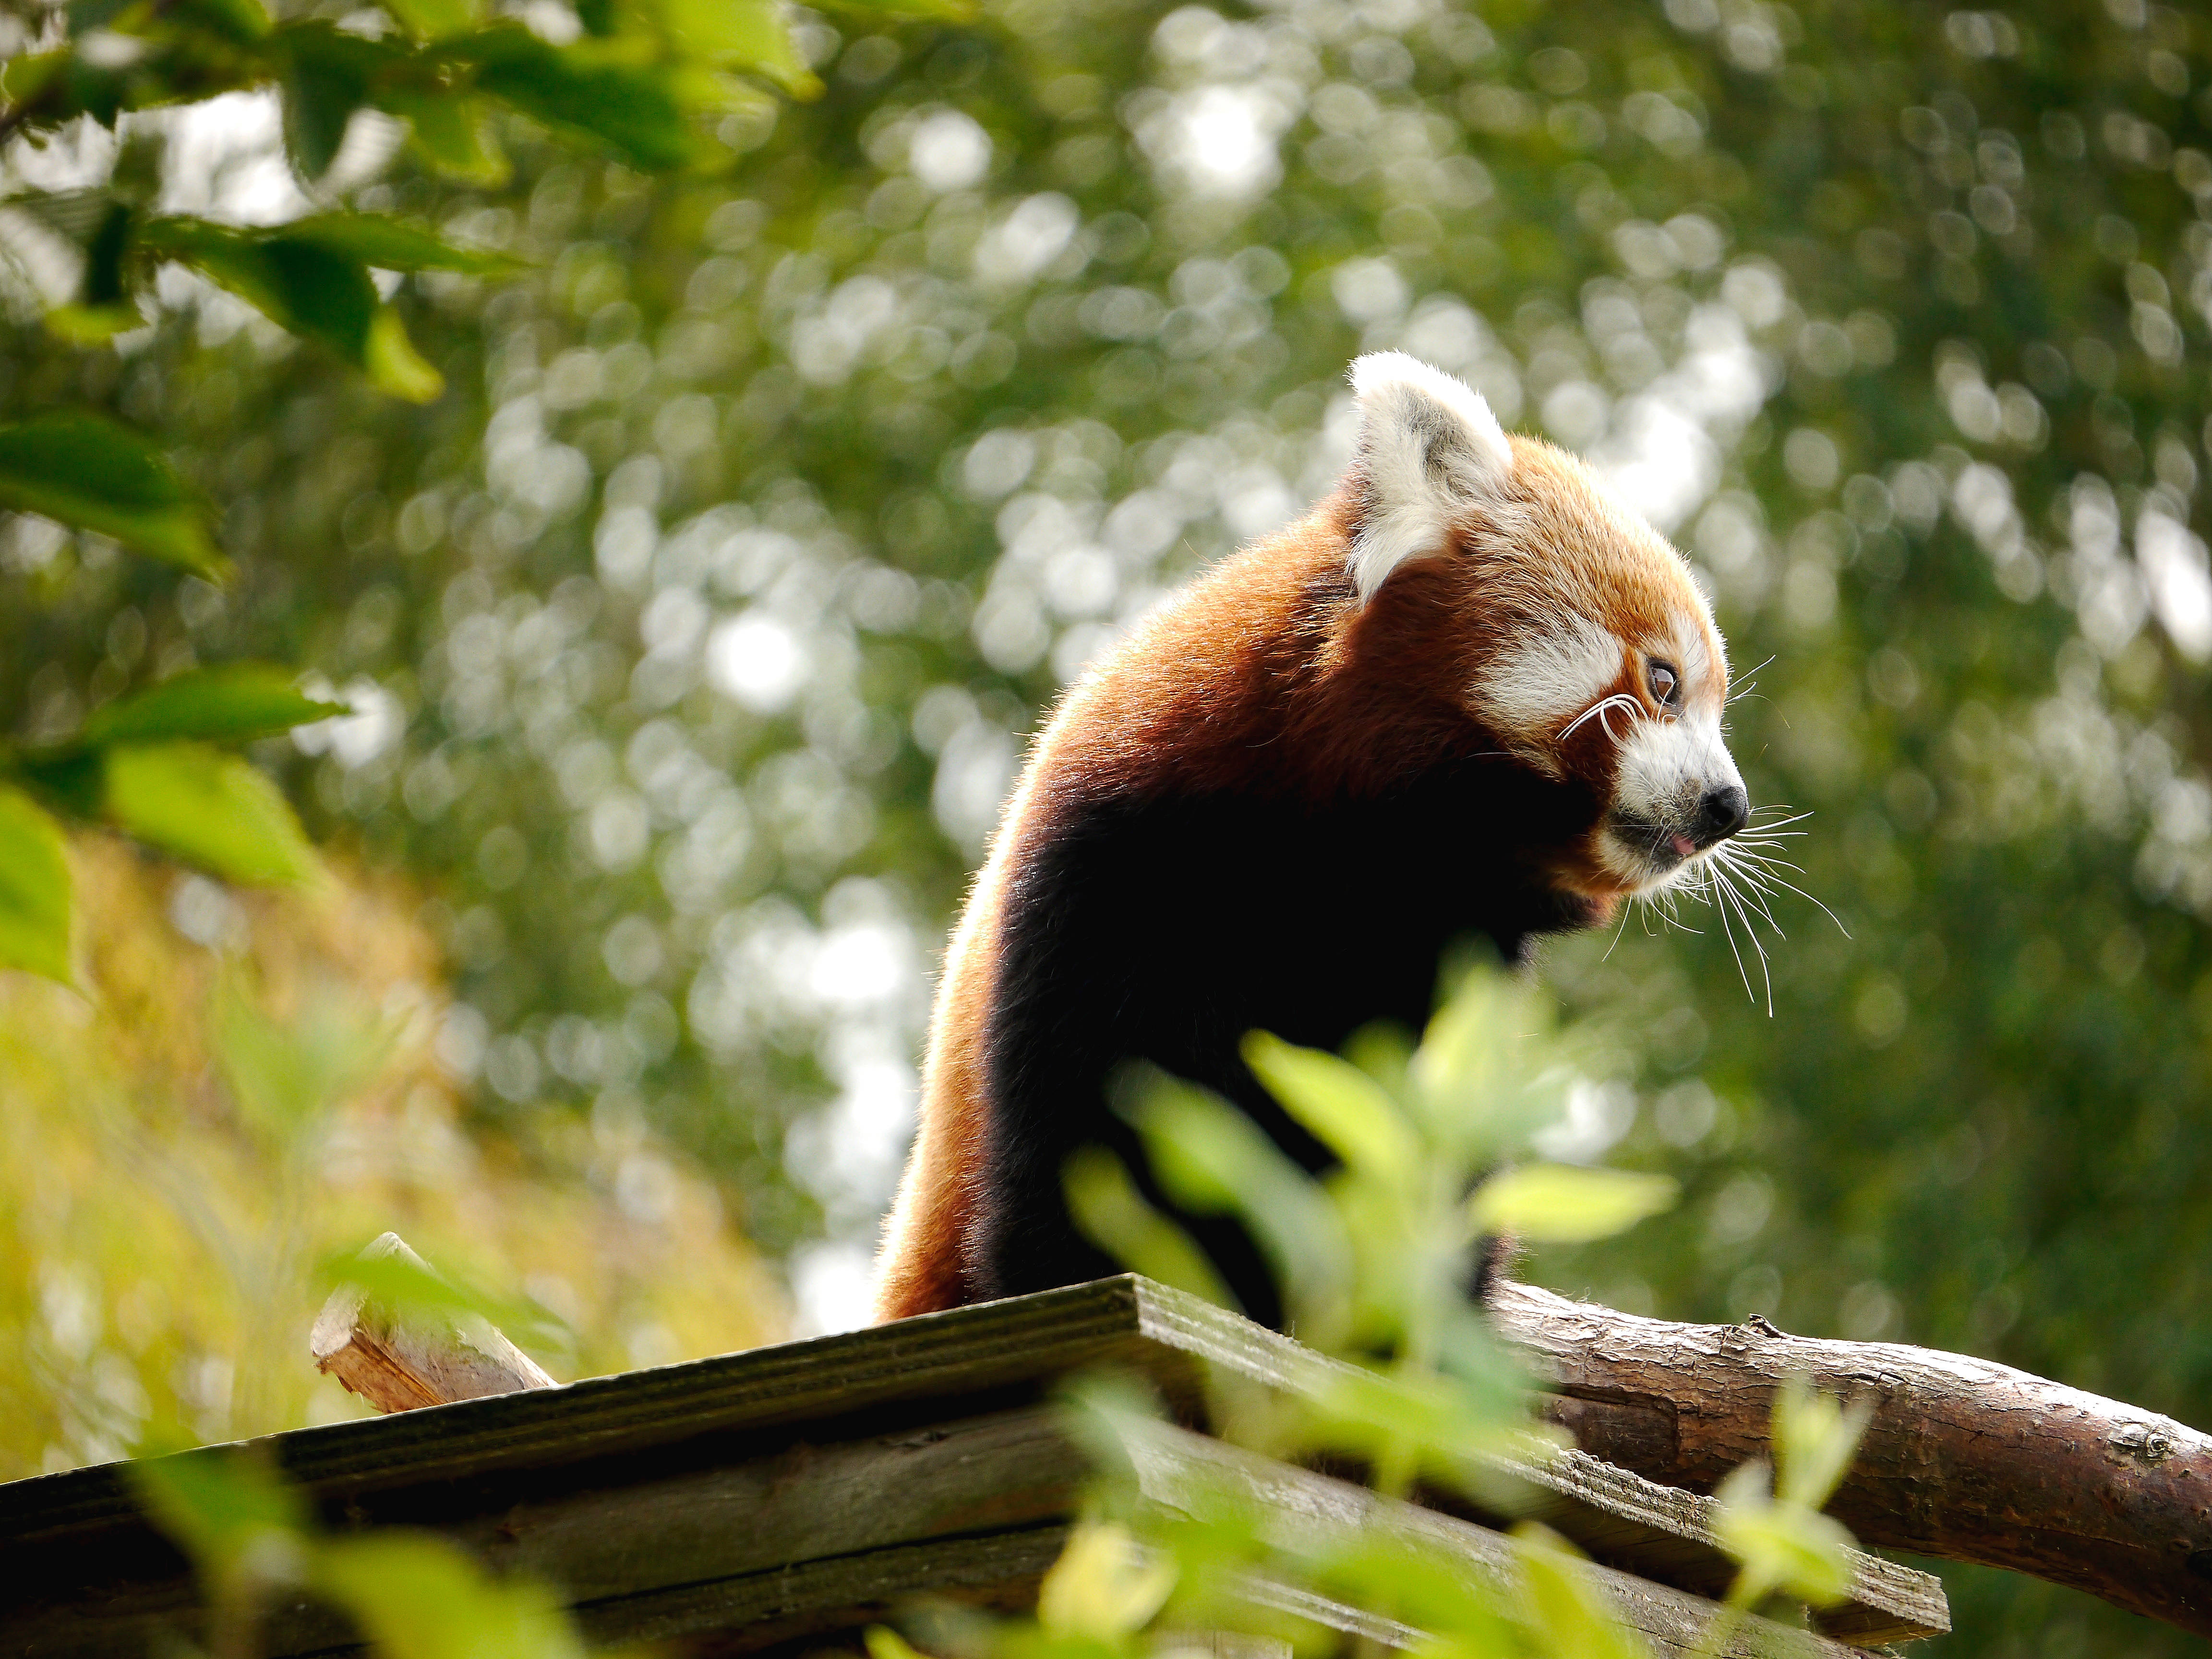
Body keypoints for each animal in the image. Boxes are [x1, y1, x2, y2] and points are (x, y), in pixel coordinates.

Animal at [873, 351, 1749, 1329]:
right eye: (1665, 683)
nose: (1729, 806)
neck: (1360, 859)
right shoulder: (1113, 865)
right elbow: (1087, 1152)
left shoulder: (1445, 954)